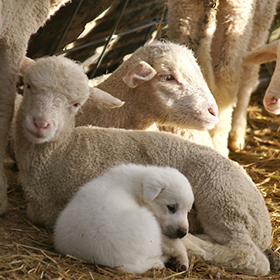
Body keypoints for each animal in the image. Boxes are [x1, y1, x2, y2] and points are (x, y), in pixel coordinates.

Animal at [53, 164, 194, 274]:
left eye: (187, 211)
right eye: (171, 208)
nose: (183, 233)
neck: (139, 187)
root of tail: (119, 264)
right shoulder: (160, 231)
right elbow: (176, 244)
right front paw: (183, 259)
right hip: (149, 224)